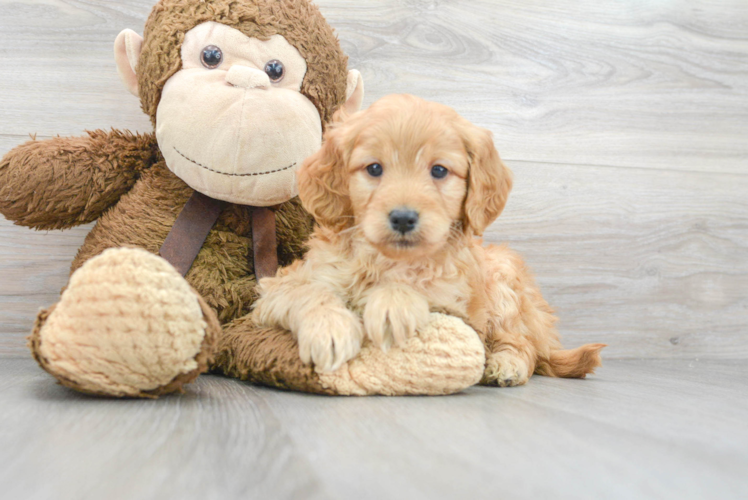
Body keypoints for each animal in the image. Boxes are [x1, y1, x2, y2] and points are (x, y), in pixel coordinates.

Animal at [254, 94, 604, 384]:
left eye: (439, 170)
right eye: (374, 168)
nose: (403, 218)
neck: (384, 261)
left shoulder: (462, 310)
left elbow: (423, 283)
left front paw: (392, 304)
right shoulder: (281, 284)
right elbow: (307, 292)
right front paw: (330, 329)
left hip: (504, 278)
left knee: (523, 344)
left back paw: (507, 365)